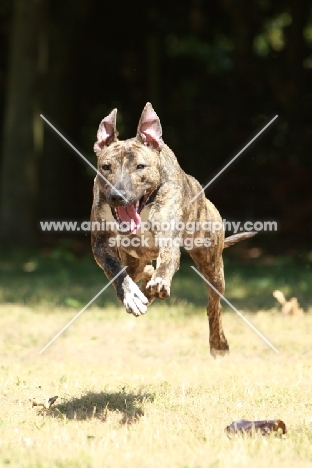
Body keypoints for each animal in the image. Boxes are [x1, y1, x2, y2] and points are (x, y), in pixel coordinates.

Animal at [91, 102, 256, 356]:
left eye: (140, 167)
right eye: (106, 167)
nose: (118, 196)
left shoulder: (167, 235)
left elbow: (168, 259)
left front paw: (158, 283)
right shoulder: (100, 244)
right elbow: (117, 272)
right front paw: (132, 295)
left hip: (212, 265)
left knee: (213, 305)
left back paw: (217, 343)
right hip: (135, 260)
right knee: (141, 271)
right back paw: (144, 292)